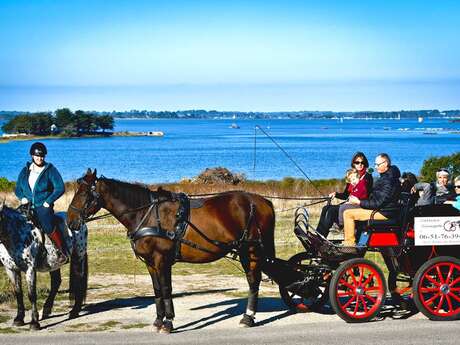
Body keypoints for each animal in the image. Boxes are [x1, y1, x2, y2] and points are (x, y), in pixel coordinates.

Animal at [66, 168, 274, 332]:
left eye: (84, 193)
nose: (70, 221)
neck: (147, 214)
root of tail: (262, 201)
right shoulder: (150, 263)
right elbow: (157, 290)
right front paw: (158, 320)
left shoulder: (161, 260)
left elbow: (166, 289)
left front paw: (168, 322)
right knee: (252, 280)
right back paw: (248, 317)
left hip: (251, 250)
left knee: (253, 281)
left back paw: (249, 317)